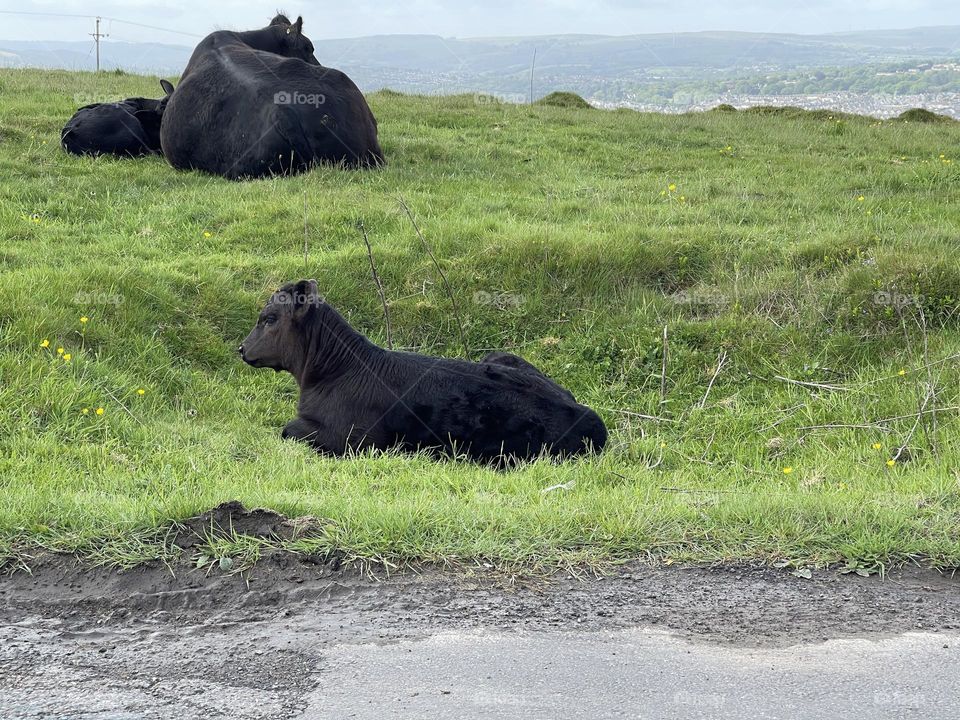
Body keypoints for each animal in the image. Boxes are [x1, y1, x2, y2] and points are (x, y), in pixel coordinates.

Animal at [239, 280, 607, 464]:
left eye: (269, 318)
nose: (241, 349)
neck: (333, 373)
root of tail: (587, 414)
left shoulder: (350, 439)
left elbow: (288, 429)